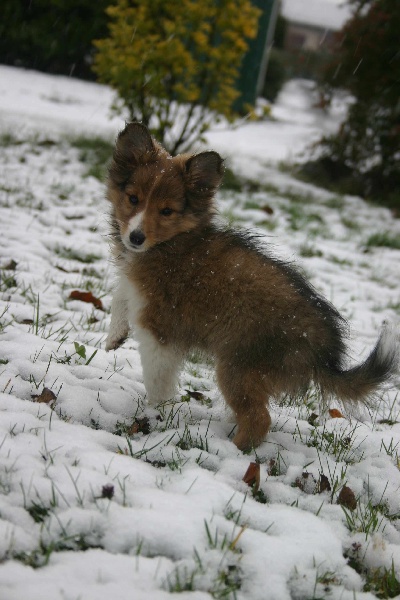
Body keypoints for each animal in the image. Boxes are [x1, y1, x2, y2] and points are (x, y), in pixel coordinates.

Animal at [104, 123, 398, 450]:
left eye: (167, 211)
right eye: (133, 199)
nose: (136, 238)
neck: (174, 241)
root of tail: (323, 350)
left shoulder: (160, 329)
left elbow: (157, 378)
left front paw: (154, 414)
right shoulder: (135, 285)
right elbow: (120, 292)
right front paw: (115, 335)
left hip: (238, 368)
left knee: (259, 419)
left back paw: (229, 450)